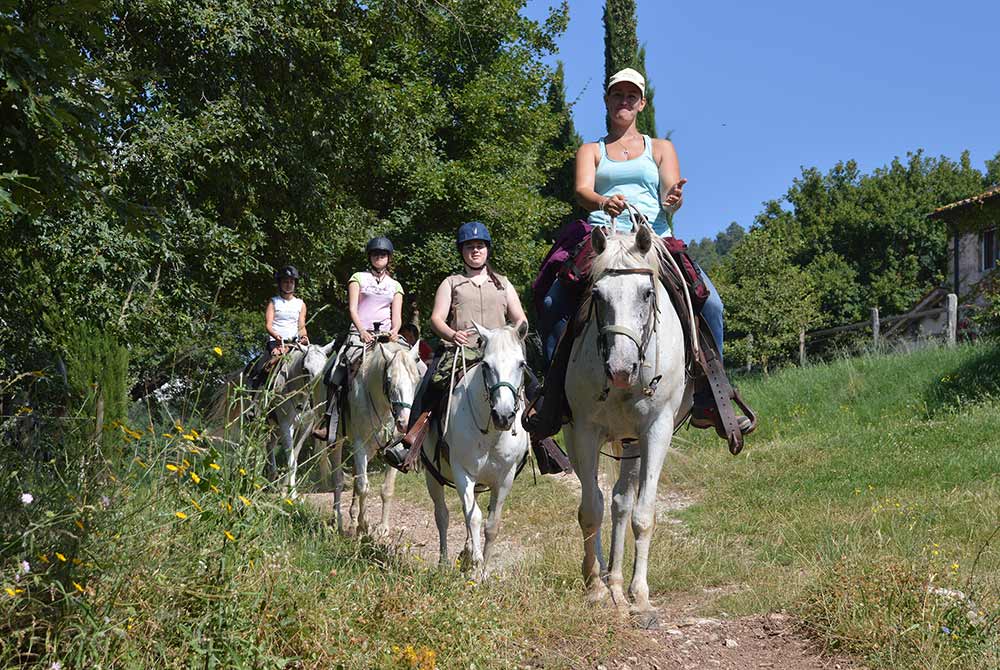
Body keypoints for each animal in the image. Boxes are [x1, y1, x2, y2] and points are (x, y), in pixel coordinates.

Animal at [330, 342, 420, 536]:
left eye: (416, 381)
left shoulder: (392, 452)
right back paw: (337, 521)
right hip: (335, 442)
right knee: (338, 480)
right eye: (389, 380)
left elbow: (386, 490)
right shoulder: (359, 447)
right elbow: (363, 486)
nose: (404, 423)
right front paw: (364, 524)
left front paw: (383, 528)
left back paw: (352, 520)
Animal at [422, 322, 532, 580]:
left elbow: (492, 524)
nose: (503, 416)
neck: (491, 434)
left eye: (521, 363)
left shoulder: (504, 478)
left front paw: (482, 572)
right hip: (433, 476)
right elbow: (474, 517)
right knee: (442, 515)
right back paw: (445, 562)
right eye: (486, 365)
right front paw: (475, 562)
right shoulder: (463, 473)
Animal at [568, 226, 692, 624]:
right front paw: (593, 587)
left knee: (622, 503)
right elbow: (590, 510)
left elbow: (643, 514)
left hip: (632, 442)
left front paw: (640, 597)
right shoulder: (584, 431)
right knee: (601, 499)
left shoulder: (656, 430)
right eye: (596, 295)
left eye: (647, 293)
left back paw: (620, 586)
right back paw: (607, 581)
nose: (620, 369)